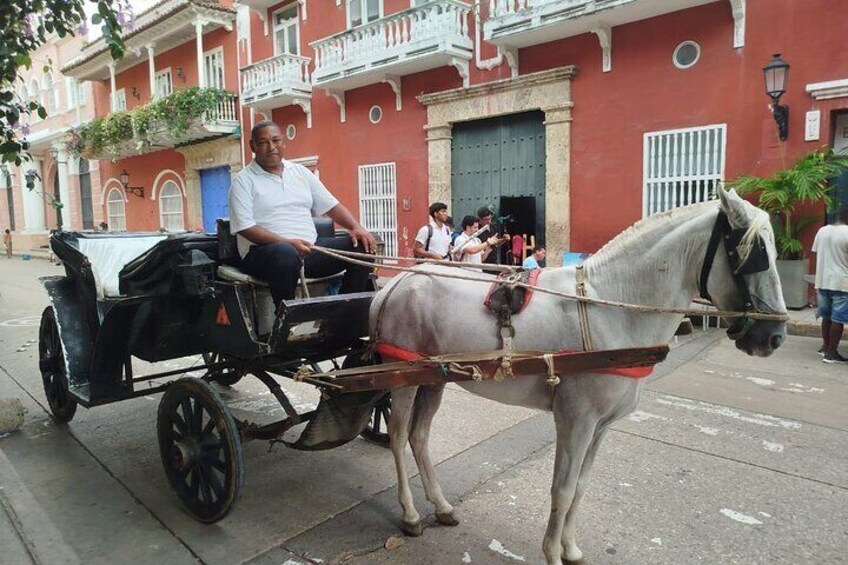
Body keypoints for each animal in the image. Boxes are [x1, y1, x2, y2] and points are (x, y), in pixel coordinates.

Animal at [372, 188, 788, 560]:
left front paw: (570, 548)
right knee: (398, 438)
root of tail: (396, 283)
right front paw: (552, 552)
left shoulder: (601, 425)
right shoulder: (576, 419)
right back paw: (410, 513)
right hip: (403, 377)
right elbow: (563, 488)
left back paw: (441, 506)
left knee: (420, 437)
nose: (775, 336)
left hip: (432, 378)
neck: (613, 309)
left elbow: (582, 487)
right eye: (753, 255)